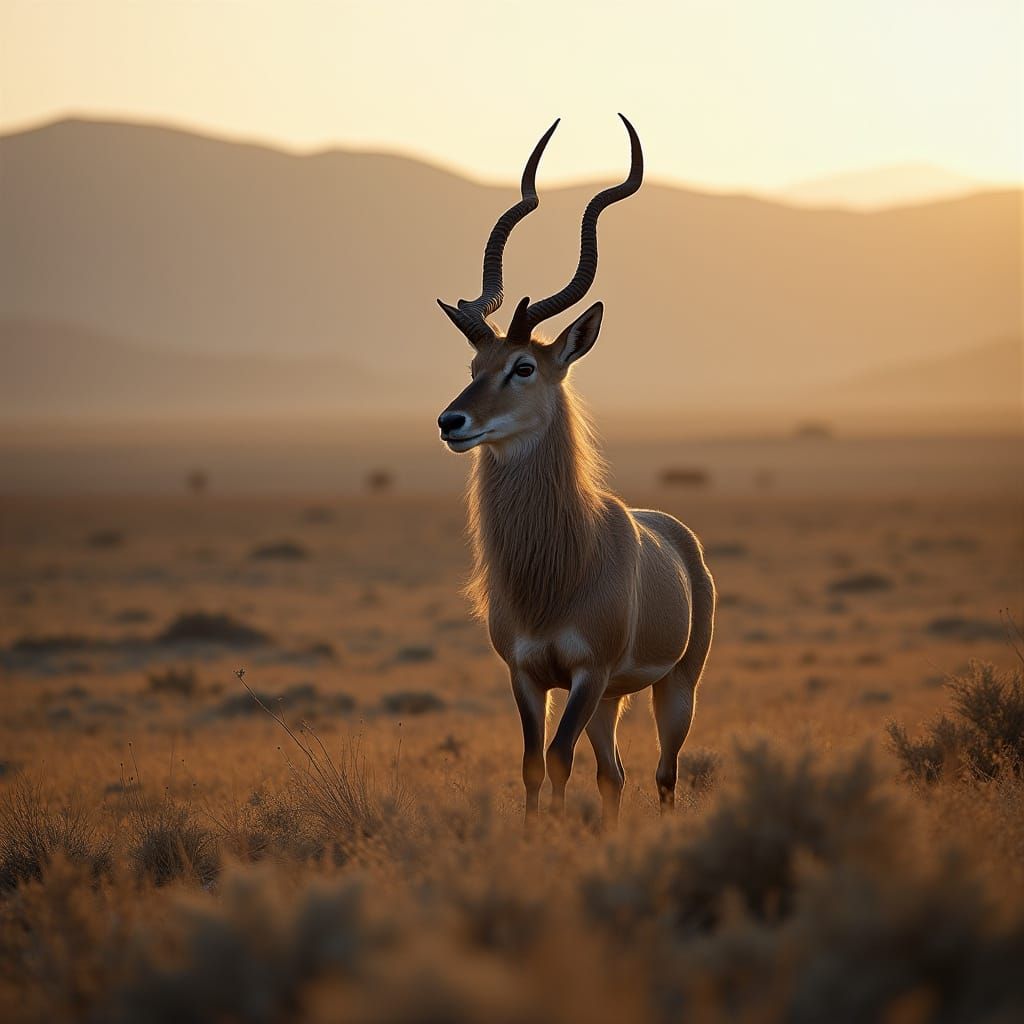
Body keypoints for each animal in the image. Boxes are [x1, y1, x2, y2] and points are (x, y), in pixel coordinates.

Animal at [436, 116, 715, 828]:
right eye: (474, 366)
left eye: (524, 366)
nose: (452, 421)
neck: (560, 564)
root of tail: (678, 537)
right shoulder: (529, 675)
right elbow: (535, 765)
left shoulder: (587, 673)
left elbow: (559, 762)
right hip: (612, 698)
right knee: (613, 773)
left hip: (672, 686)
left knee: (664, 773)